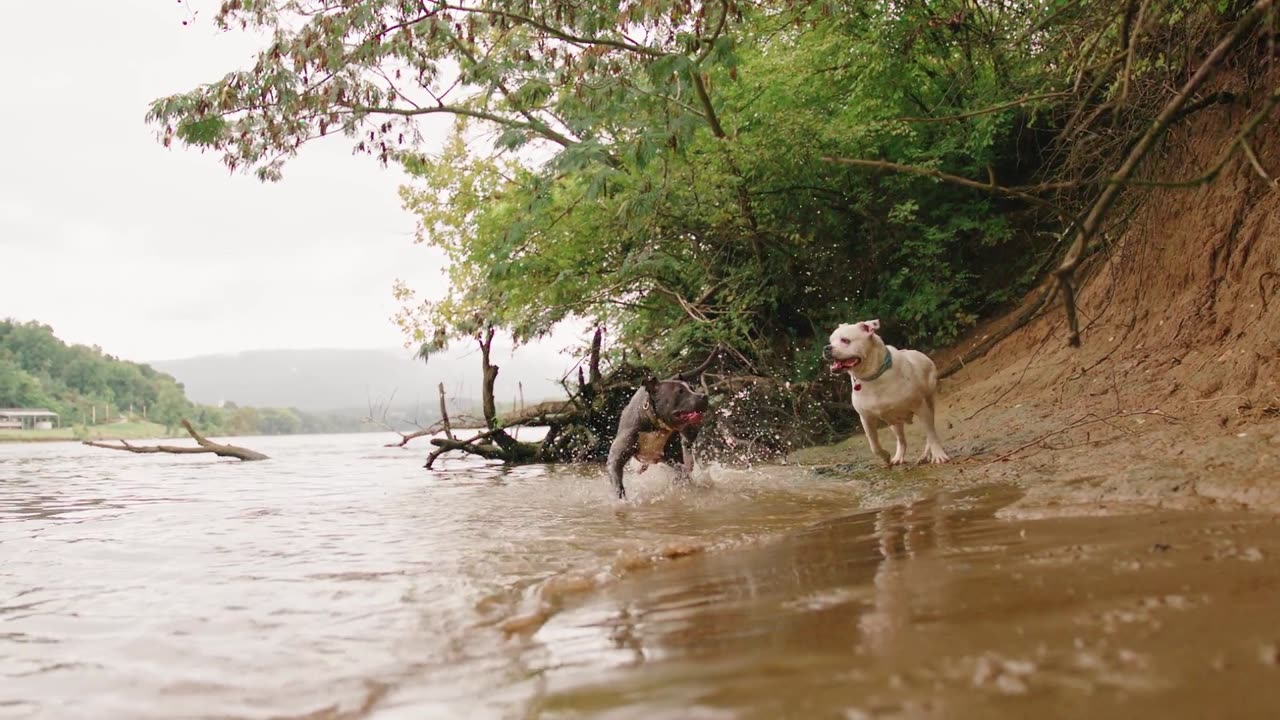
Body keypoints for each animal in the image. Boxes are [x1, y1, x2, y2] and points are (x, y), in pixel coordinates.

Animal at [829, 319, 952, 466]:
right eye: (830, 341)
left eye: (845, 340)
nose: (826, 348)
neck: (873, 377)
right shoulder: (866, 418)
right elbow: (874, 445)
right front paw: (885, 456)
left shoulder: (921, 408)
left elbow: (931, 435)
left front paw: (938, 454)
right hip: (894, 421)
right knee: (901, 439)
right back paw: (899, 456)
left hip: (928, 404)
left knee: (930, 432)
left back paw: (926, 454)